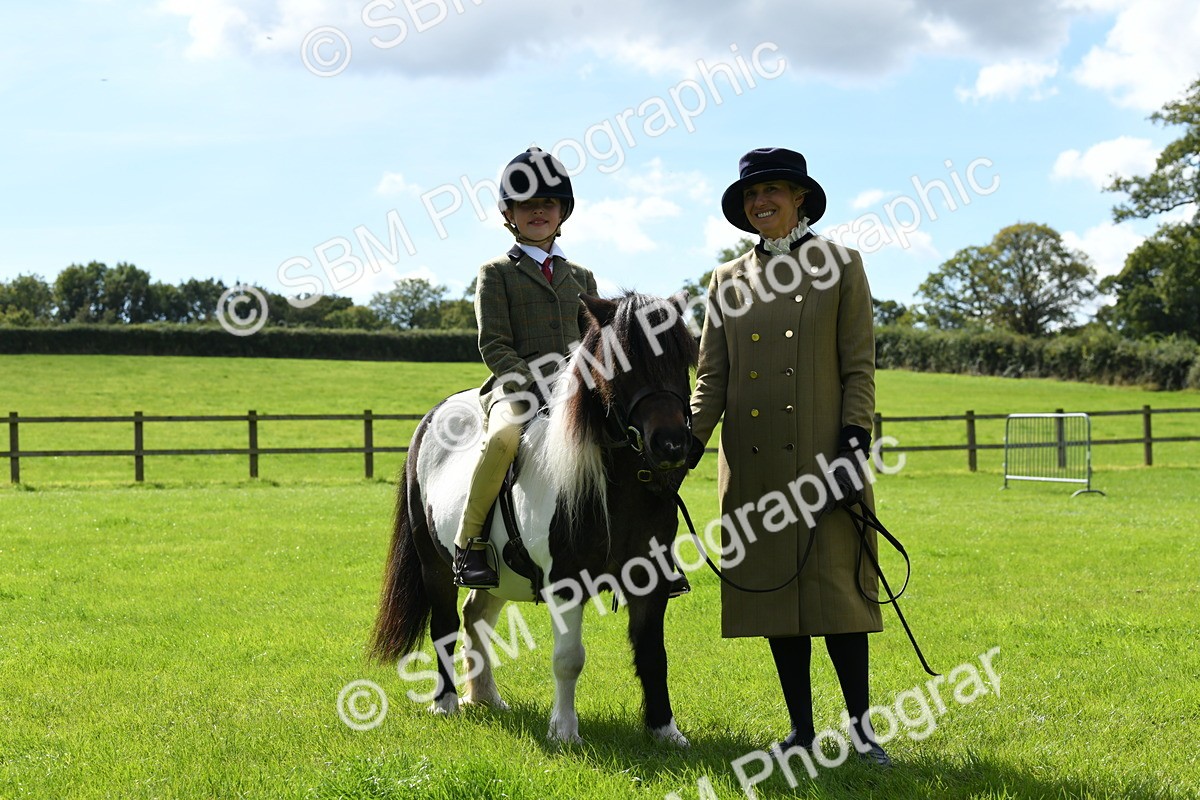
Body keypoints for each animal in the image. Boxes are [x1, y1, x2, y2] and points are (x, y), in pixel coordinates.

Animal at [370, 292, 698, 745]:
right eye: (620, 364)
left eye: (682, 358)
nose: (671, 444)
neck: (615, 488)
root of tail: (434, 415)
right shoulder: (566, 582)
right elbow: (568, 658)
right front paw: (564, 732)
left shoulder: (650, 578)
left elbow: (653, 654)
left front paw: (665, 730)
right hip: (433, 564)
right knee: (447, 626)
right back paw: (446, 703)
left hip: (497, 575)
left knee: (476, 618)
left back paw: (486, 697)